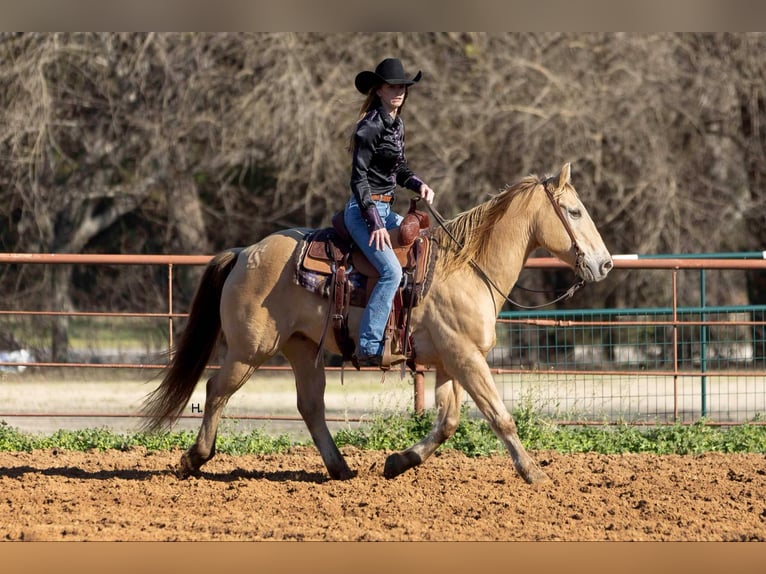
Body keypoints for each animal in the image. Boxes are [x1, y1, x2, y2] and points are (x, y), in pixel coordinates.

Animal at [141, 163, 613, 484]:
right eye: (573, 212)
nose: (605, 263)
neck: (466, 267)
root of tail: (244, 253)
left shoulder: (451, 362)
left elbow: (448, 422)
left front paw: (399, 461)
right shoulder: (465, 357)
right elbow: (499, 417)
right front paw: (534, 472)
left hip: (301, 349)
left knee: (310, 406)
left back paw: (340, 468)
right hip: (249, 351)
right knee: (216, 391)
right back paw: (194, 458)